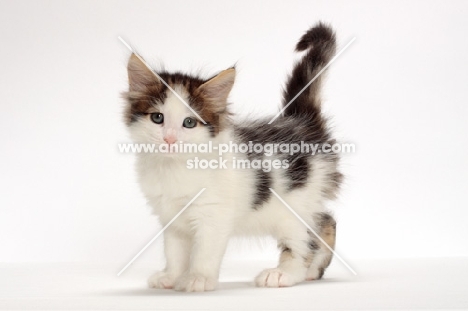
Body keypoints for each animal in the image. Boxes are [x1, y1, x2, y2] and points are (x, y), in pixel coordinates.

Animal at [123, 22, 344, 292]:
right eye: (157, 118)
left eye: (189, 123)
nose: (170, 139)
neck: (174, 168)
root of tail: (302, 123)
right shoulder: (171, 217)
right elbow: (174, 250)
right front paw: (171, 276)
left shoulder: (213, 214)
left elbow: (205, 251)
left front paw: (198, 278)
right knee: (327, 221)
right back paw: (313, 270)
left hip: (296, 206)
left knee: (304, 240)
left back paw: (285, 273)